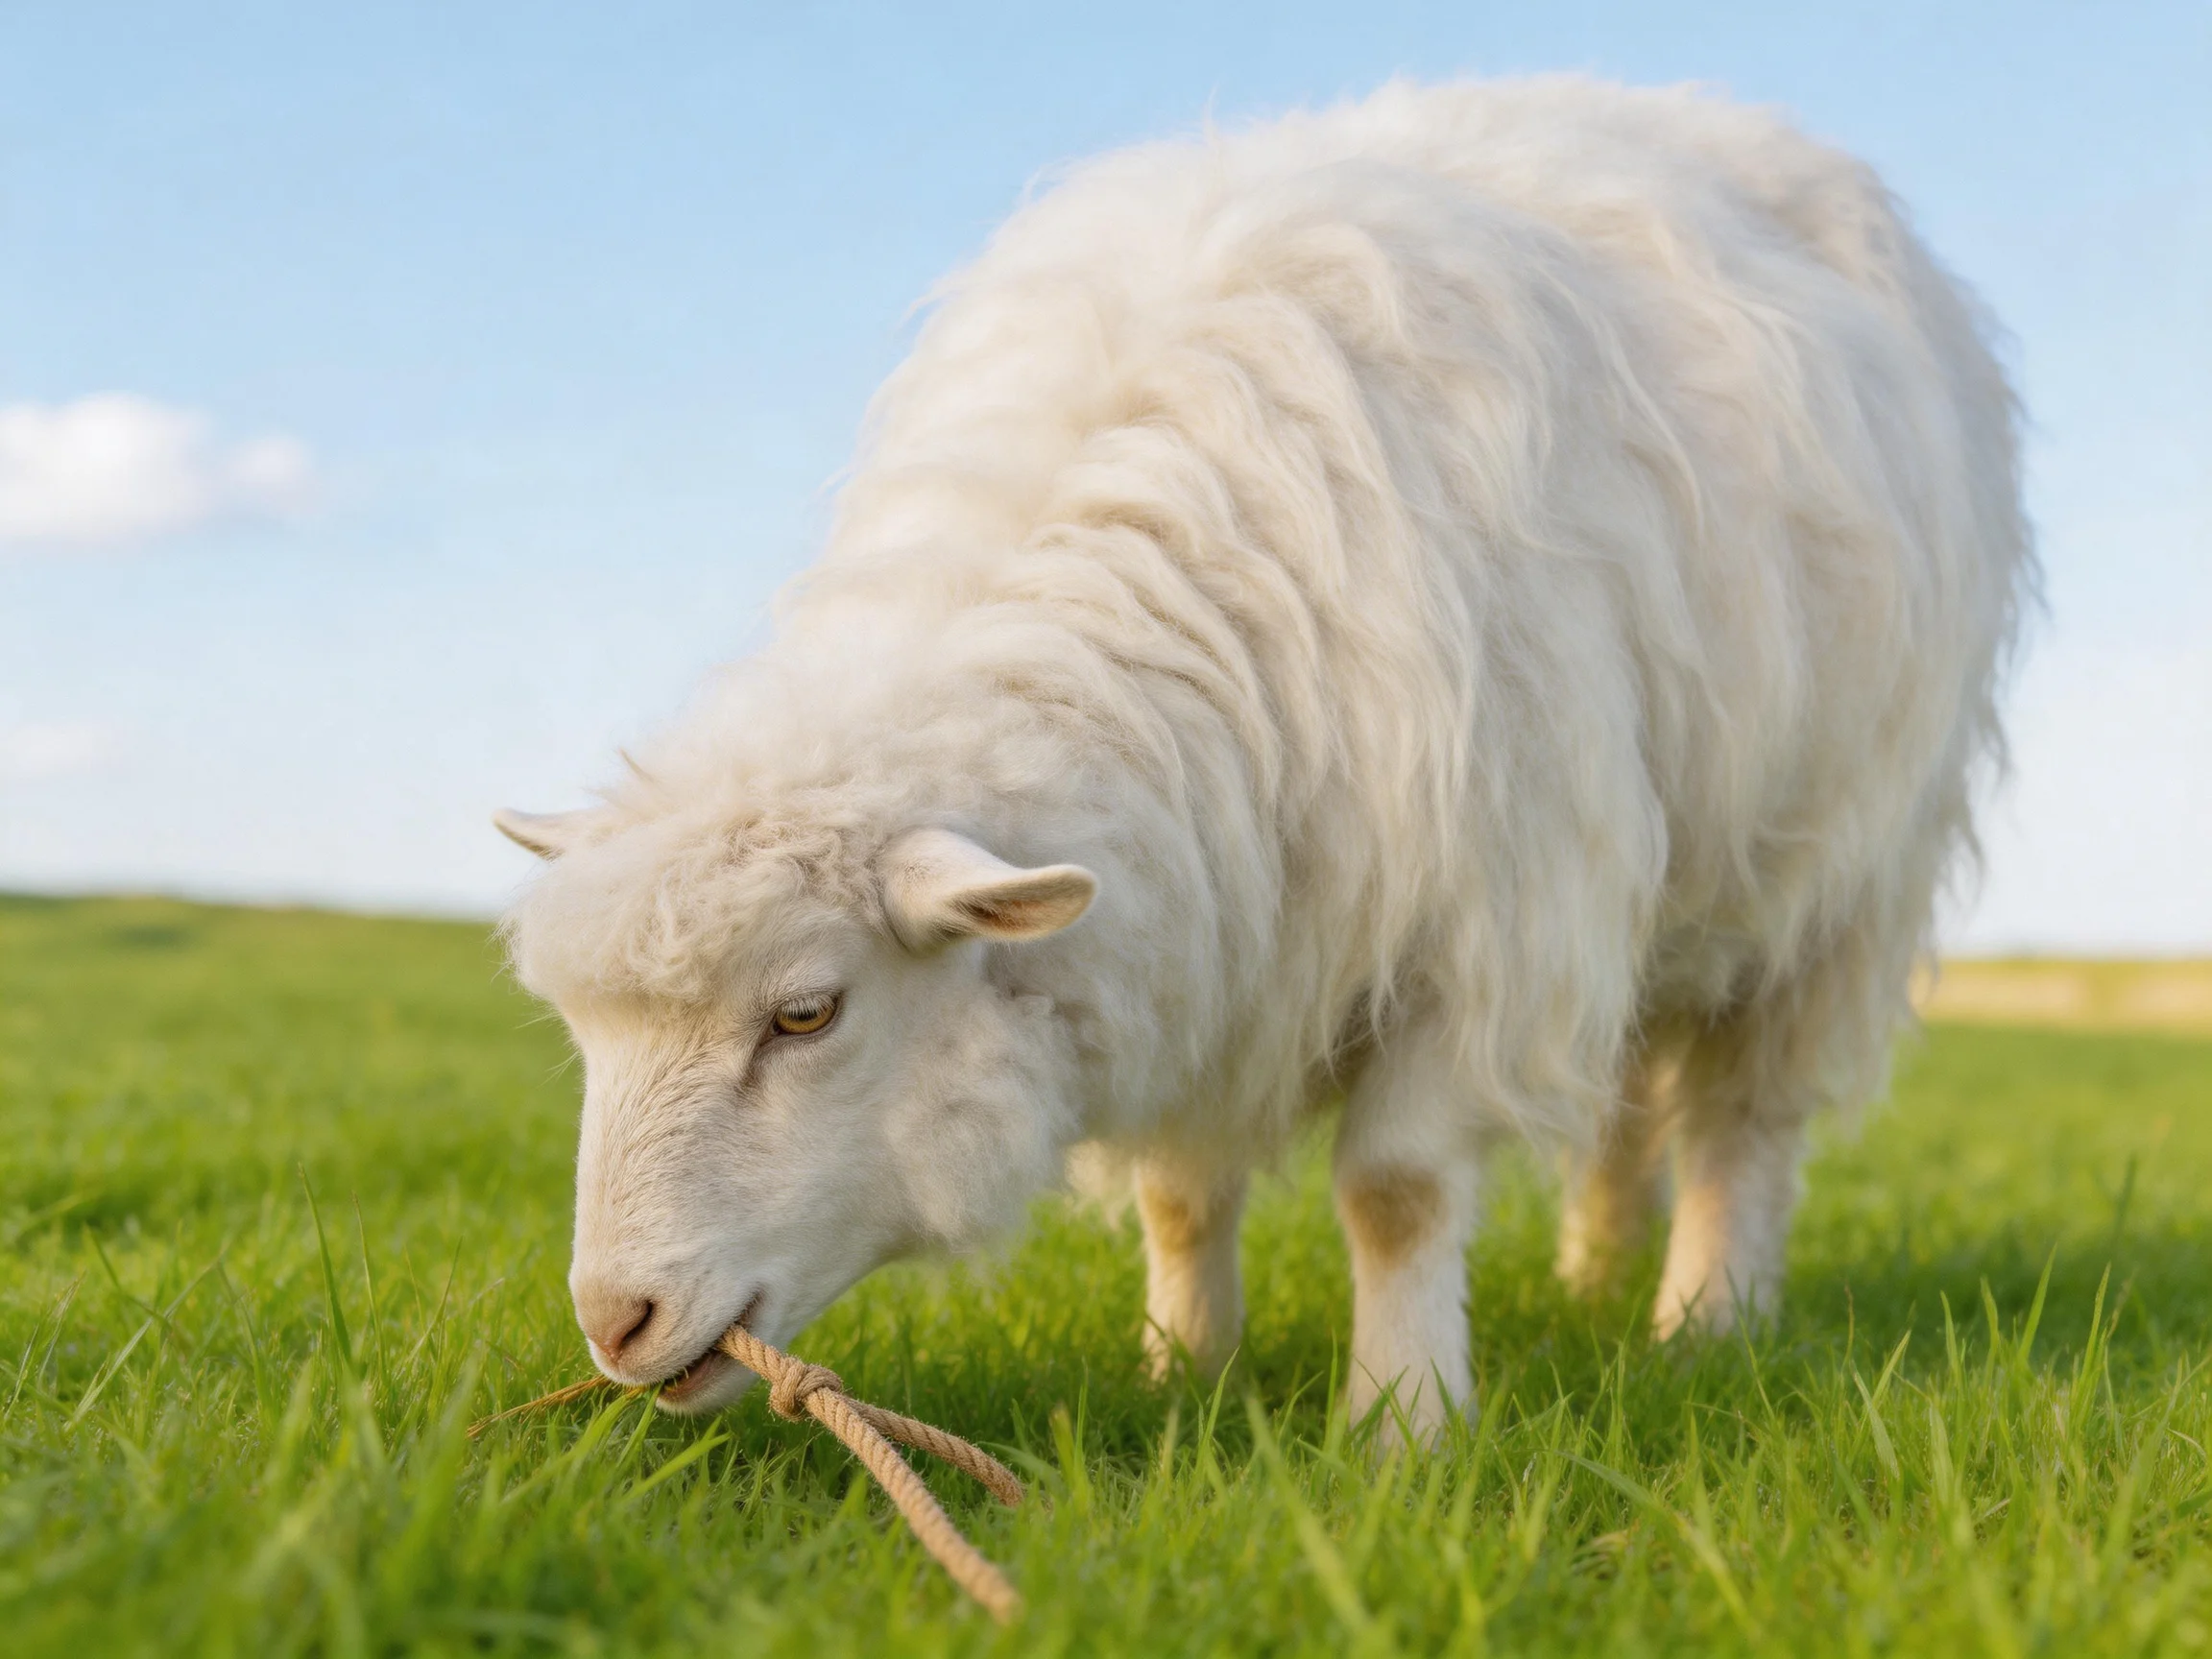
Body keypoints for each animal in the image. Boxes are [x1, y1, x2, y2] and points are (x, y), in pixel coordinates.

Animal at [497, 76, 2033, 1442]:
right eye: (583, 1035)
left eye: (807, 1014)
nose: (617, 1322)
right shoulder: (1202, 918)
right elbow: (1182, 1192)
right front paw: (1185, 1372)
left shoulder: (1489, 916)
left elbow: (1400, 1192)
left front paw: (1404, 1427)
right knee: (1620, 1100)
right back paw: (1598, 1278)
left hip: (1835, 881)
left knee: (1737, 1118)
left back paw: (1705, 1324)